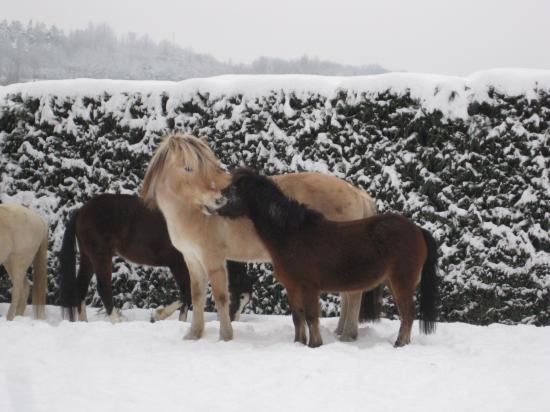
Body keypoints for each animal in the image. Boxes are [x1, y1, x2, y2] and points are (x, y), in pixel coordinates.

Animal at [59, 192, 256, 322]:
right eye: (238, 296)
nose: (233, 319)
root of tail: (82, 210)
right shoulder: (178, 264)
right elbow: (186, 293)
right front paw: (157, 315)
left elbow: (187, 298)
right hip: (101, 256)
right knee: (103, 287)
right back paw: (117, 321)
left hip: (88, 257)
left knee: (81, 286)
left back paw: (83, 322)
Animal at [141, 134, 380, 342]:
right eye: (188, 168)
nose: (218, 201)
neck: (192, 211)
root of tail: (357, 192)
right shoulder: (192, 260)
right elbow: (197, 296)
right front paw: (193, 335)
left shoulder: (214, 260)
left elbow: (220, 297)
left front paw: (225, 336)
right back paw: (340, 331)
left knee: (353, 295)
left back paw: (348, 334)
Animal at [210, 169, 440, 350]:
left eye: (235, 190)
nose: (216, 204)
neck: (293, 234)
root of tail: (417, 230)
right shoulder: (292, 287)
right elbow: (298, 317)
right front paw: (298, 343)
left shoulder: (309, 287)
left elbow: (312, 316)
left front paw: (315, 344)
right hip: (394, 282)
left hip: (401, 282)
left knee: (407, 313)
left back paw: (397, 344)